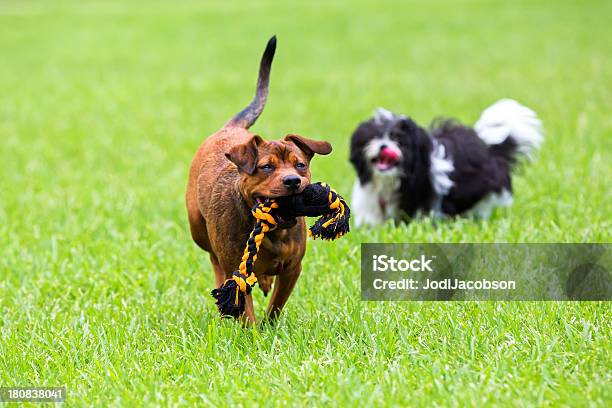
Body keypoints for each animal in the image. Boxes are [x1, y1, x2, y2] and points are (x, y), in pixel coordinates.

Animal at [185, 36, 332, 324]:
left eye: (300, 165)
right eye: (266, 167)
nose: (293, 181)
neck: (272, 230)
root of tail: (230, 129)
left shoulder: (292, 269)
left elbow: (276, 304)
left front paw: (269, 326)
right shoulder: (237, 270)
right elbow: (244, 307)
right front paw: (252, 330)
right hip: (198, 228)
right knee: (214, 260)